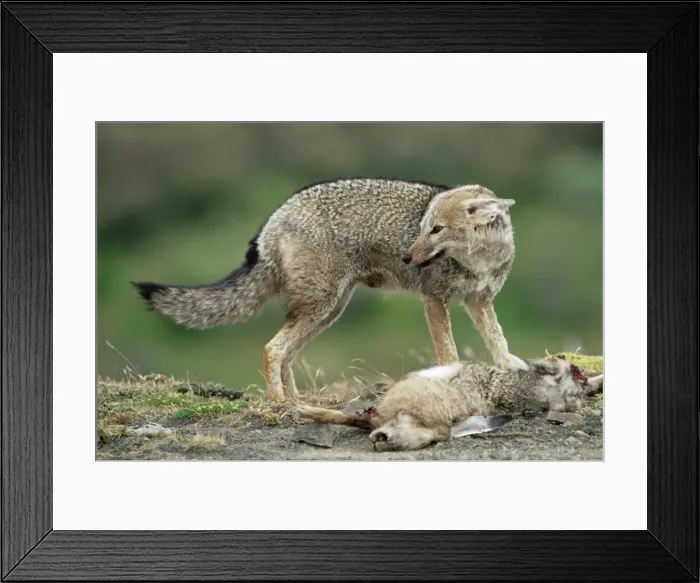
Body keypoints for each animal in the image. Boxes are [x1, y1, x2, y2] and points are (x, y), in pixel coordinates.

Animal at [132, 178, 517, 400]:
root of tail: (274, 218)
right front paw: (449, 380)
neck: (479, 259)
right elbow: (449, 353)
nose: (406, 257)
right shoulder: (434, 299)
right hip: (321, 304)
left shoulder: (479, 301)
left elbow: (498, 341)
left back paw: (297, 401)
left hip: (328, 309)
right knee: (273, 349)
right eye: (422, 228)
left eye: (436, 229)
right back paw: (280, 403)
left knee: (286, 353)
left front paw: (509, 370)